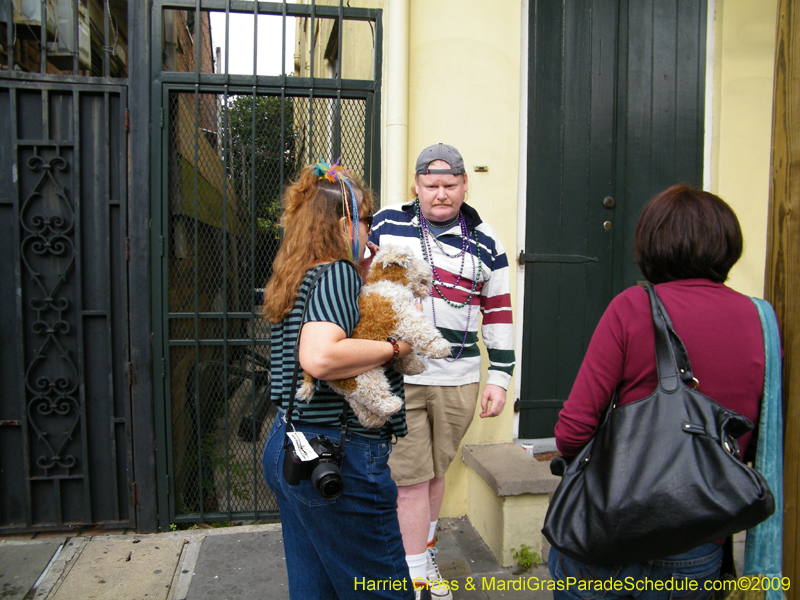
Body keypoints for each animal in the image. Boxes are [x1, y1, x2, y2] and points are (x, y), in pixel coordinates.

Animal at [298, 244, 454, 426]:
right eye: (413, 260)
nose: (430, 268)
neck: (388, 281)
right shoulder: (403, 313)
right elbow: (421, 329)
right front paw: (440, 348)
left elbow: (405, 355)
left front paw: (415, 365)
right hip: (365, 376)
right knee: (373, 396)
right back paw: (392, 404)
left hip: (346, 387)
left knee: (358, 404)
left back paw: (373, 421)